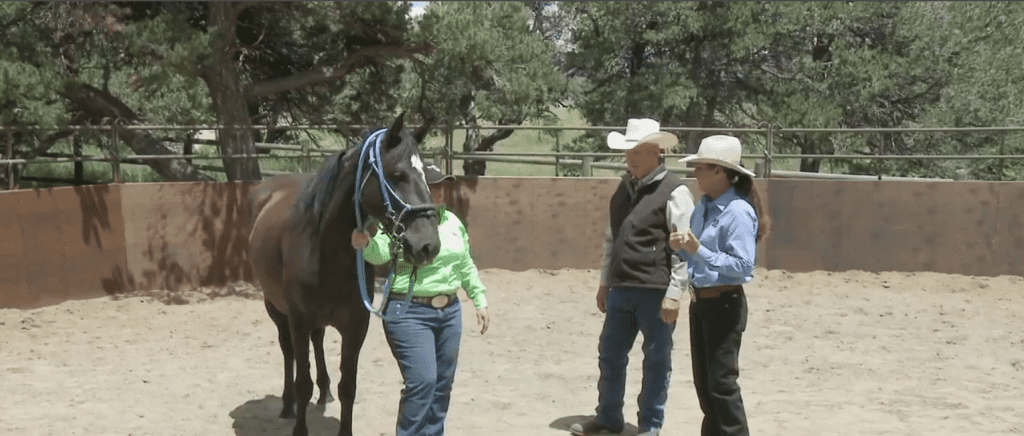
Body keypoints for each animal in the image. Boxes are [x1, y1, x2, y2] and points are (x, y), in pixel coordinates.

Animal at [248, 113, 441, 436]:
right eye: (397, 174)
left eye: (426, 175)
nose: (428, 245)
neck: (325, 251)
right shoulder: (298, 321)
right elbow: (302, 382)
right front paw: (300, 425)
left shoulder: (355, 326)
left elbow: (348, 387)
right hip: (274, 307)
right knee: (288, 352)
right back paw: (287, 405)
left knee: (318, 341)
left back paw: (323, 391)